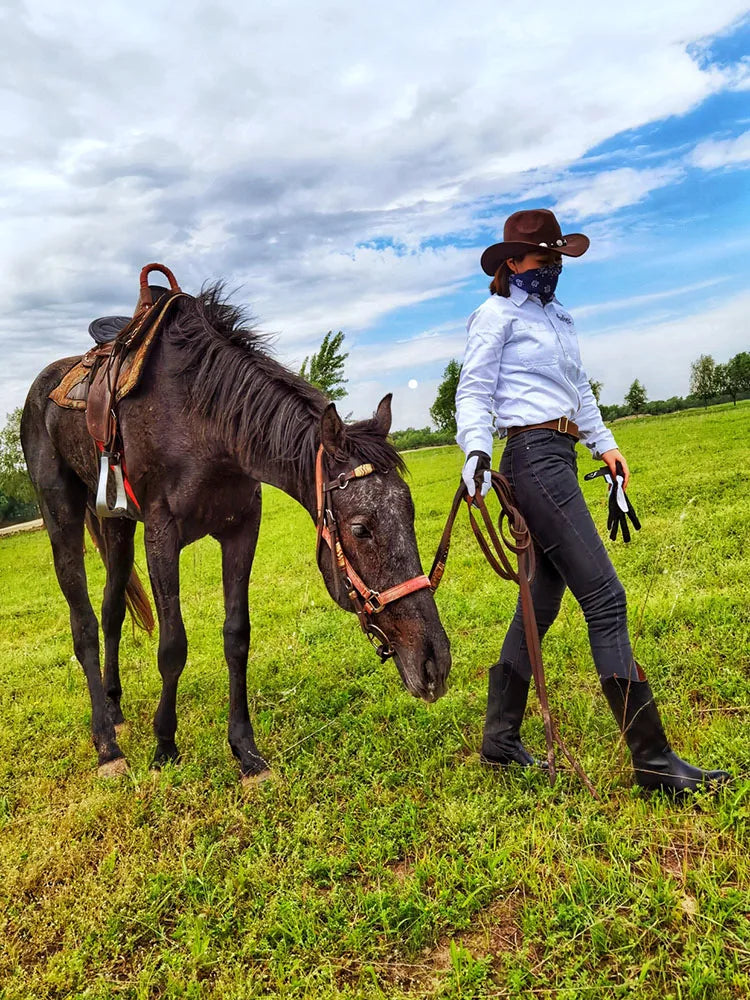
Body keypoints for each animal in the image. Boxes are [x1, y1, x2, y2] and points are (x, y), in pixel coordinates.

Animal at [20, 286, 452, 776]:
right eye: (361, 529)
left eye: (409, 510)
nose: (435, 662)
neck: (204, 422)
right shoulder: (161, 536)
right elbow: (172, 646)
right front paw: (164, 745)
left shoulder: (242, 530)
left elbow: (237, 637)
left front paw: (245, 751)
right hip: (61, 515)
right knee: (85, 624)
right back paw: (107, 745)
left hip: (117, 525)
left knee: (112, 611)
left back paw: (114, 710)